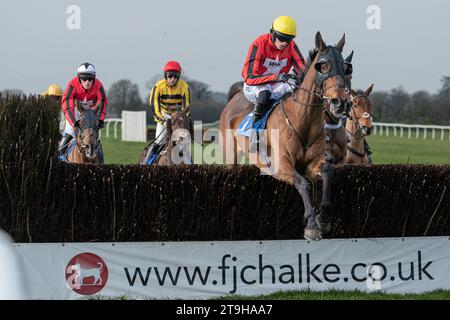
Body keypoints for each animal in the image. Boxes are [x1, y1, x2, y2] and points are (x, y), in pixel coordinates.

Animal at [220, 31, 350, 240]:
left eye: (344, 68)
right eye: (323, 66)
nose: (341, 102)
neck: (303, 120)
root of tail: (235, 97)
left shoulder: (312, 165)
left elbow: (328, 172)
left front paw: (323, 220)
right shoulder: (281, 166)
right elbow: (302, 184)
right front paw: (312, 225)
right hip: (230, 156)